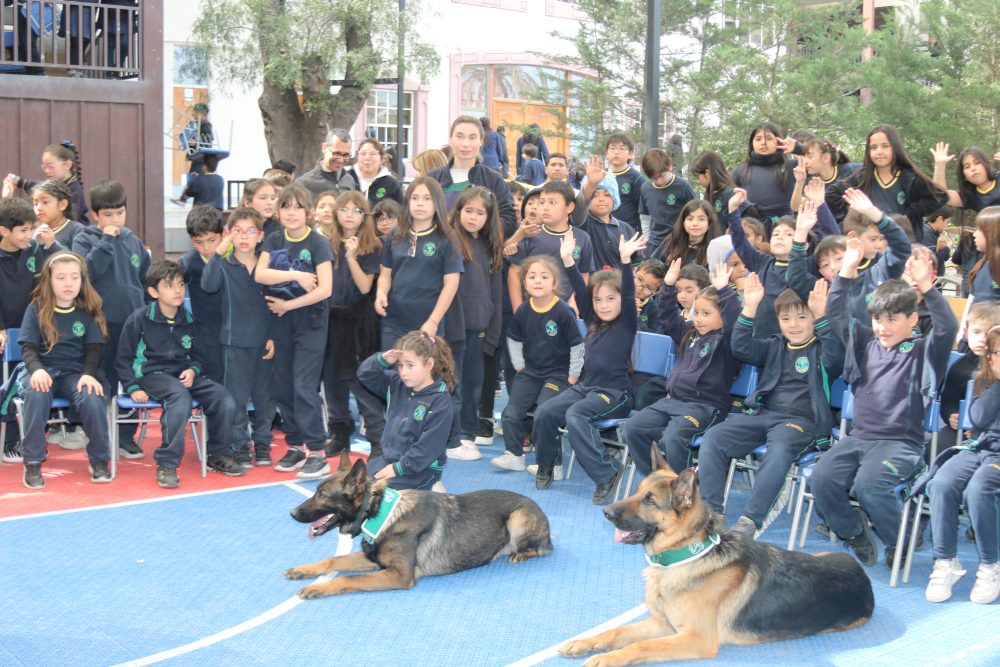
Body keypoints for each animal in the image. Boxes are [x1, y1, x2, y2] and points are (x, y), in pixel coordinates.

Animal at [286, 460, 556, 600]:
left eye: (321, 495)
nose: (292, 513)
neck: (378, 512)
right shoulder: (373, 559)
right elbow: (333, 560)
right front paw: (303, 570)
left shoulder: (399, 575)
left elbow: (347, 578)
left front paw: (317, 588)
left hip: (517, 518)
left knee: (537, 548)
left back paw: (520, 553)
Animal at [564, 446, 876, 664]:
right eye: (637, 490)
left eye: (650, 500)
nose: (606, 512)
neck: (686, 558)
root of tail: (865, 580)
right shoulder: (662, 623)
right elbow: (616, 632)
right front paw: (585, 642)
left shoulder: (694, 639)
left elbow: (641, 645)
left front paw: (607, 658)